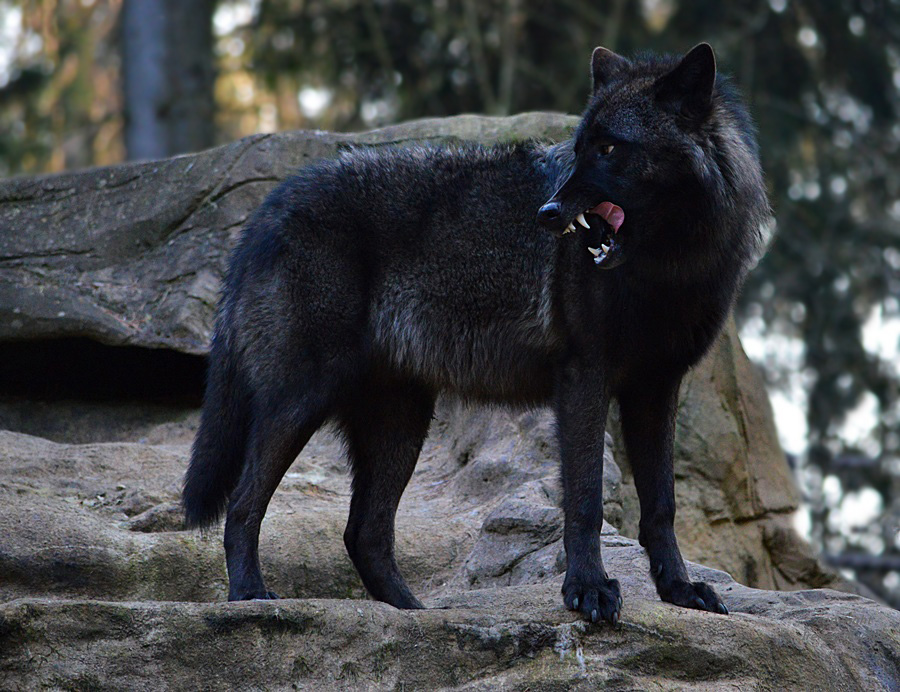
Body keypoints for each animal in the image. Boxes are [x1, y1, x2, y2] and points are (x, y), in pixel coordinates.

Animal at [181, 46, 768, 624]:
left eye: (609, 149)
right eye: (579, 148)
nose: (547, 213)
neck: (669, 271)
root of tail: (266, 210)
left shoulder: (656, 388)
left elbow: (662, 506)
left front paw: (680, 591)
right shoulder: (584, 377)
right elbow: (585, 498)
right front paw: (588, 590)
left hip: (401, 422)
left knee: (363, 533)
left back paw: (414, 616)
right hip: (303, 398)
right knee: (244, 504)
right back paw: (250, 597)